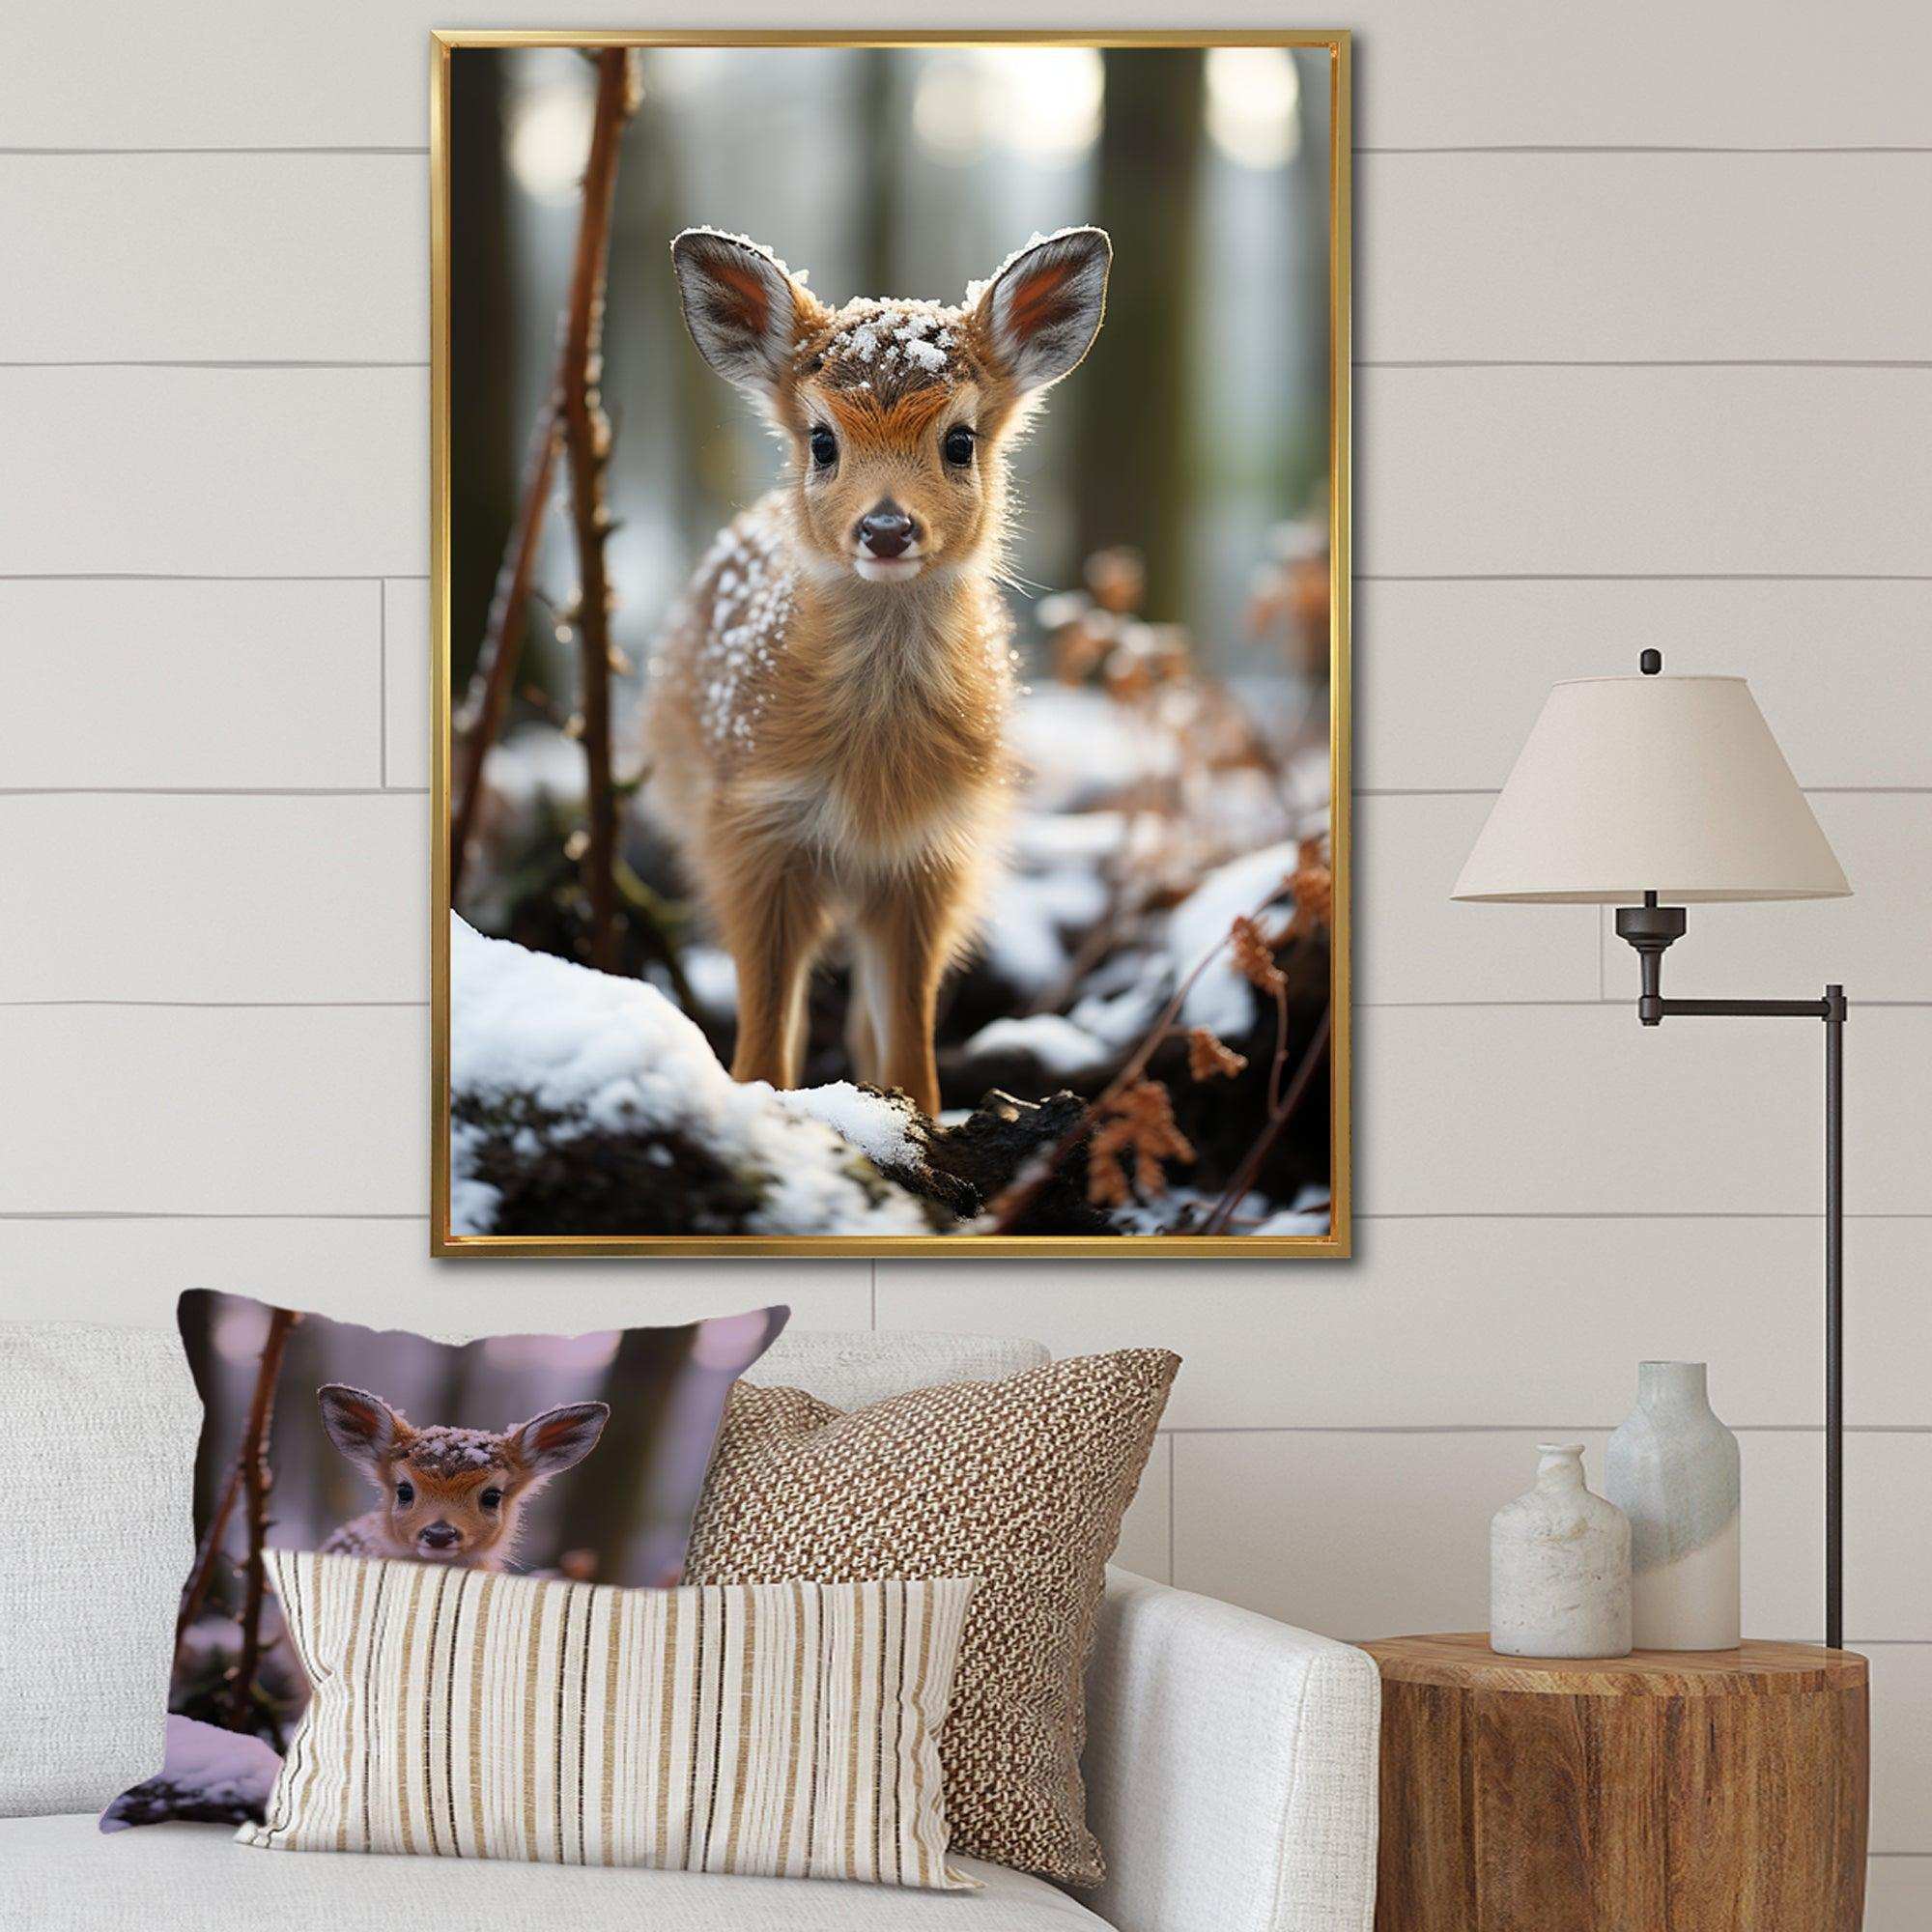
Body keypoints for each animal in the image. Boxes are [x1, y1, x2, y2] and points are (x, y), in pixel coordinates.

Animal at [645, 225, 1113, 1118]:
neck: (871, 778)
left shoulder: (931, 856)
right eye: (823, 440)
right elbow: (766, 1034)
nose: (887, 527)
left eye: (960, 441)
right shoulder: (751, 832)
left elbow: (909, 1032)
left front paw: (919, 1124)